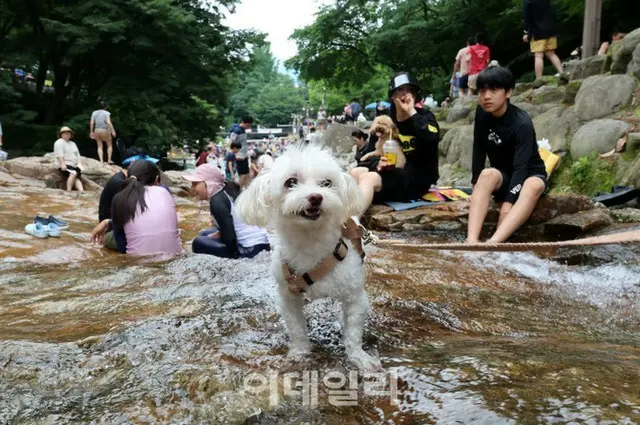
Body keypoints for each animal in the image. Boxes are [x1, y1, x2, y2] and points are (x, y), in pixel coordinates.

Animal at [238, 144, 382, 370]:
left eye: (327, 183)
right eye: (291, 182)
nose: (316, 197)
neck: (310, 241)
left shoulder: (355, 296)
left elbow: (353, 332)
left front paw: (359, 357)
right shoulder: (288, 297)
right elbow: (296, 328)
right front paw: (299, 352)